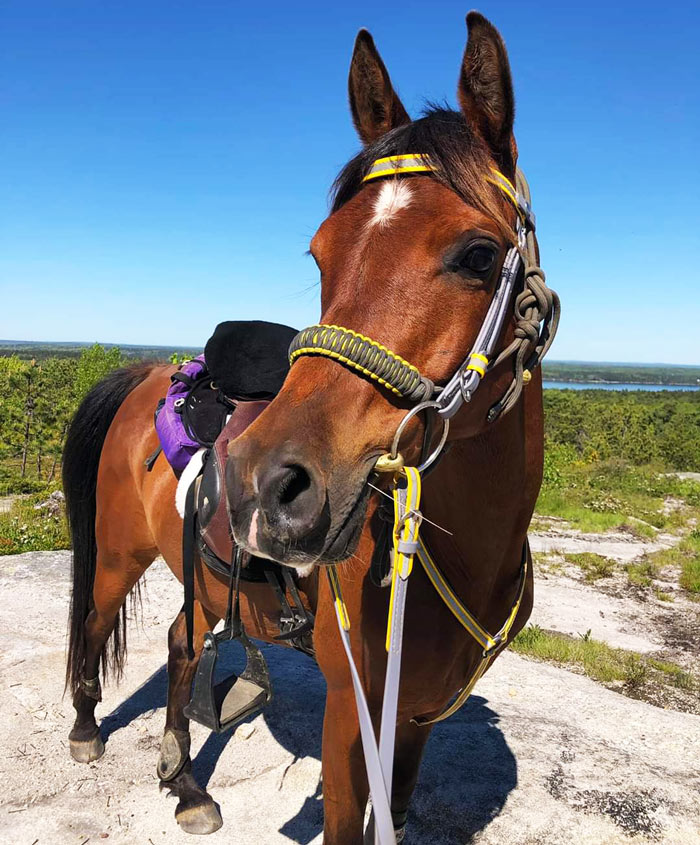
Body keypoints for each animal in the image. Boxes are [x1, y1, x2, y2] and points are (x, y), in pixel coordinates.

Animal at [63, 12, 558, 844]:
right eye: (321, 254)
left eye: (479, 253)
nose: (264, 486)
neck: (464, 558)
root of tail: (149, 373)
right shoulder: (349, 715)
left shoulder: (414, 721)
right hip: (116, 558)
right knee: (98, 623)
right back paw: (86, 726)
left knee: (182, 643)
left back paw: (187, 785)